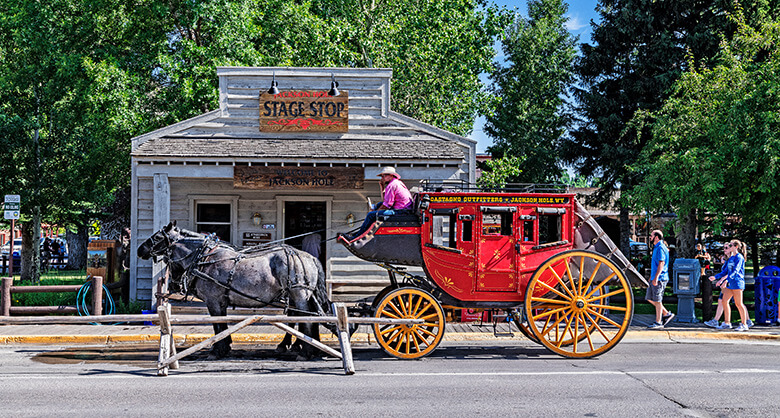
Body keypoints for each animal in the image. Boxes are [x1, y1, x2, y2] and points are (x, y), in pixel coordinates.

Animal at [137, 222, 332, 360]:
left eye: (157, 237)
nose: (140, 249)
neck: (204, 258)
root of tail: (310, 257)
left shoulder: (214, 301)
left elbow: (218, 326)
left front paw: (217, 350)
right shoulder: (220, 302)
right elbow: (222, 325)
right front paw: (225, 347)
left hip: (299, 295)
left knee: (306, 320)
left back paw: (305, 351)